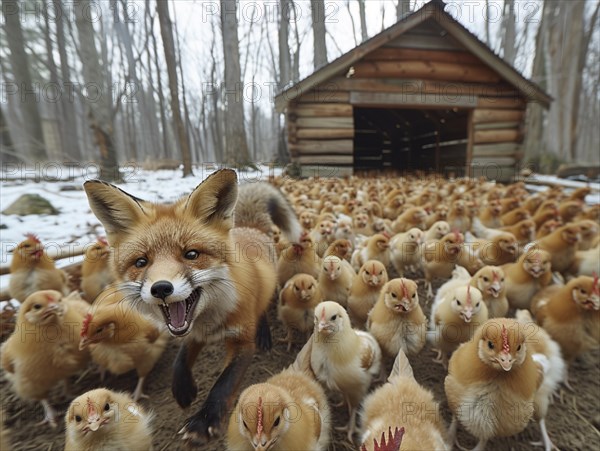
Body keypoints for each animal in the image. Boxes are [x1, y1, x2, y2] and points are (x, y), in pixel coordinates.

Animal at [81, 169, 300, 444]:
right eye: (141, 262)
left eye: (191, 255)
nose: (161, 289)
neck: (210, 320)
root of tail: (249, 227)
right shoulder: (193, 332)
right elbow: (180, 359)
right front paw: (183, 390)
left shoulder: (241, 342)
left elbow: (224, 384)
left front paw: (204, 421)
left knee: (262, 311)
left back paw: (265, 335)